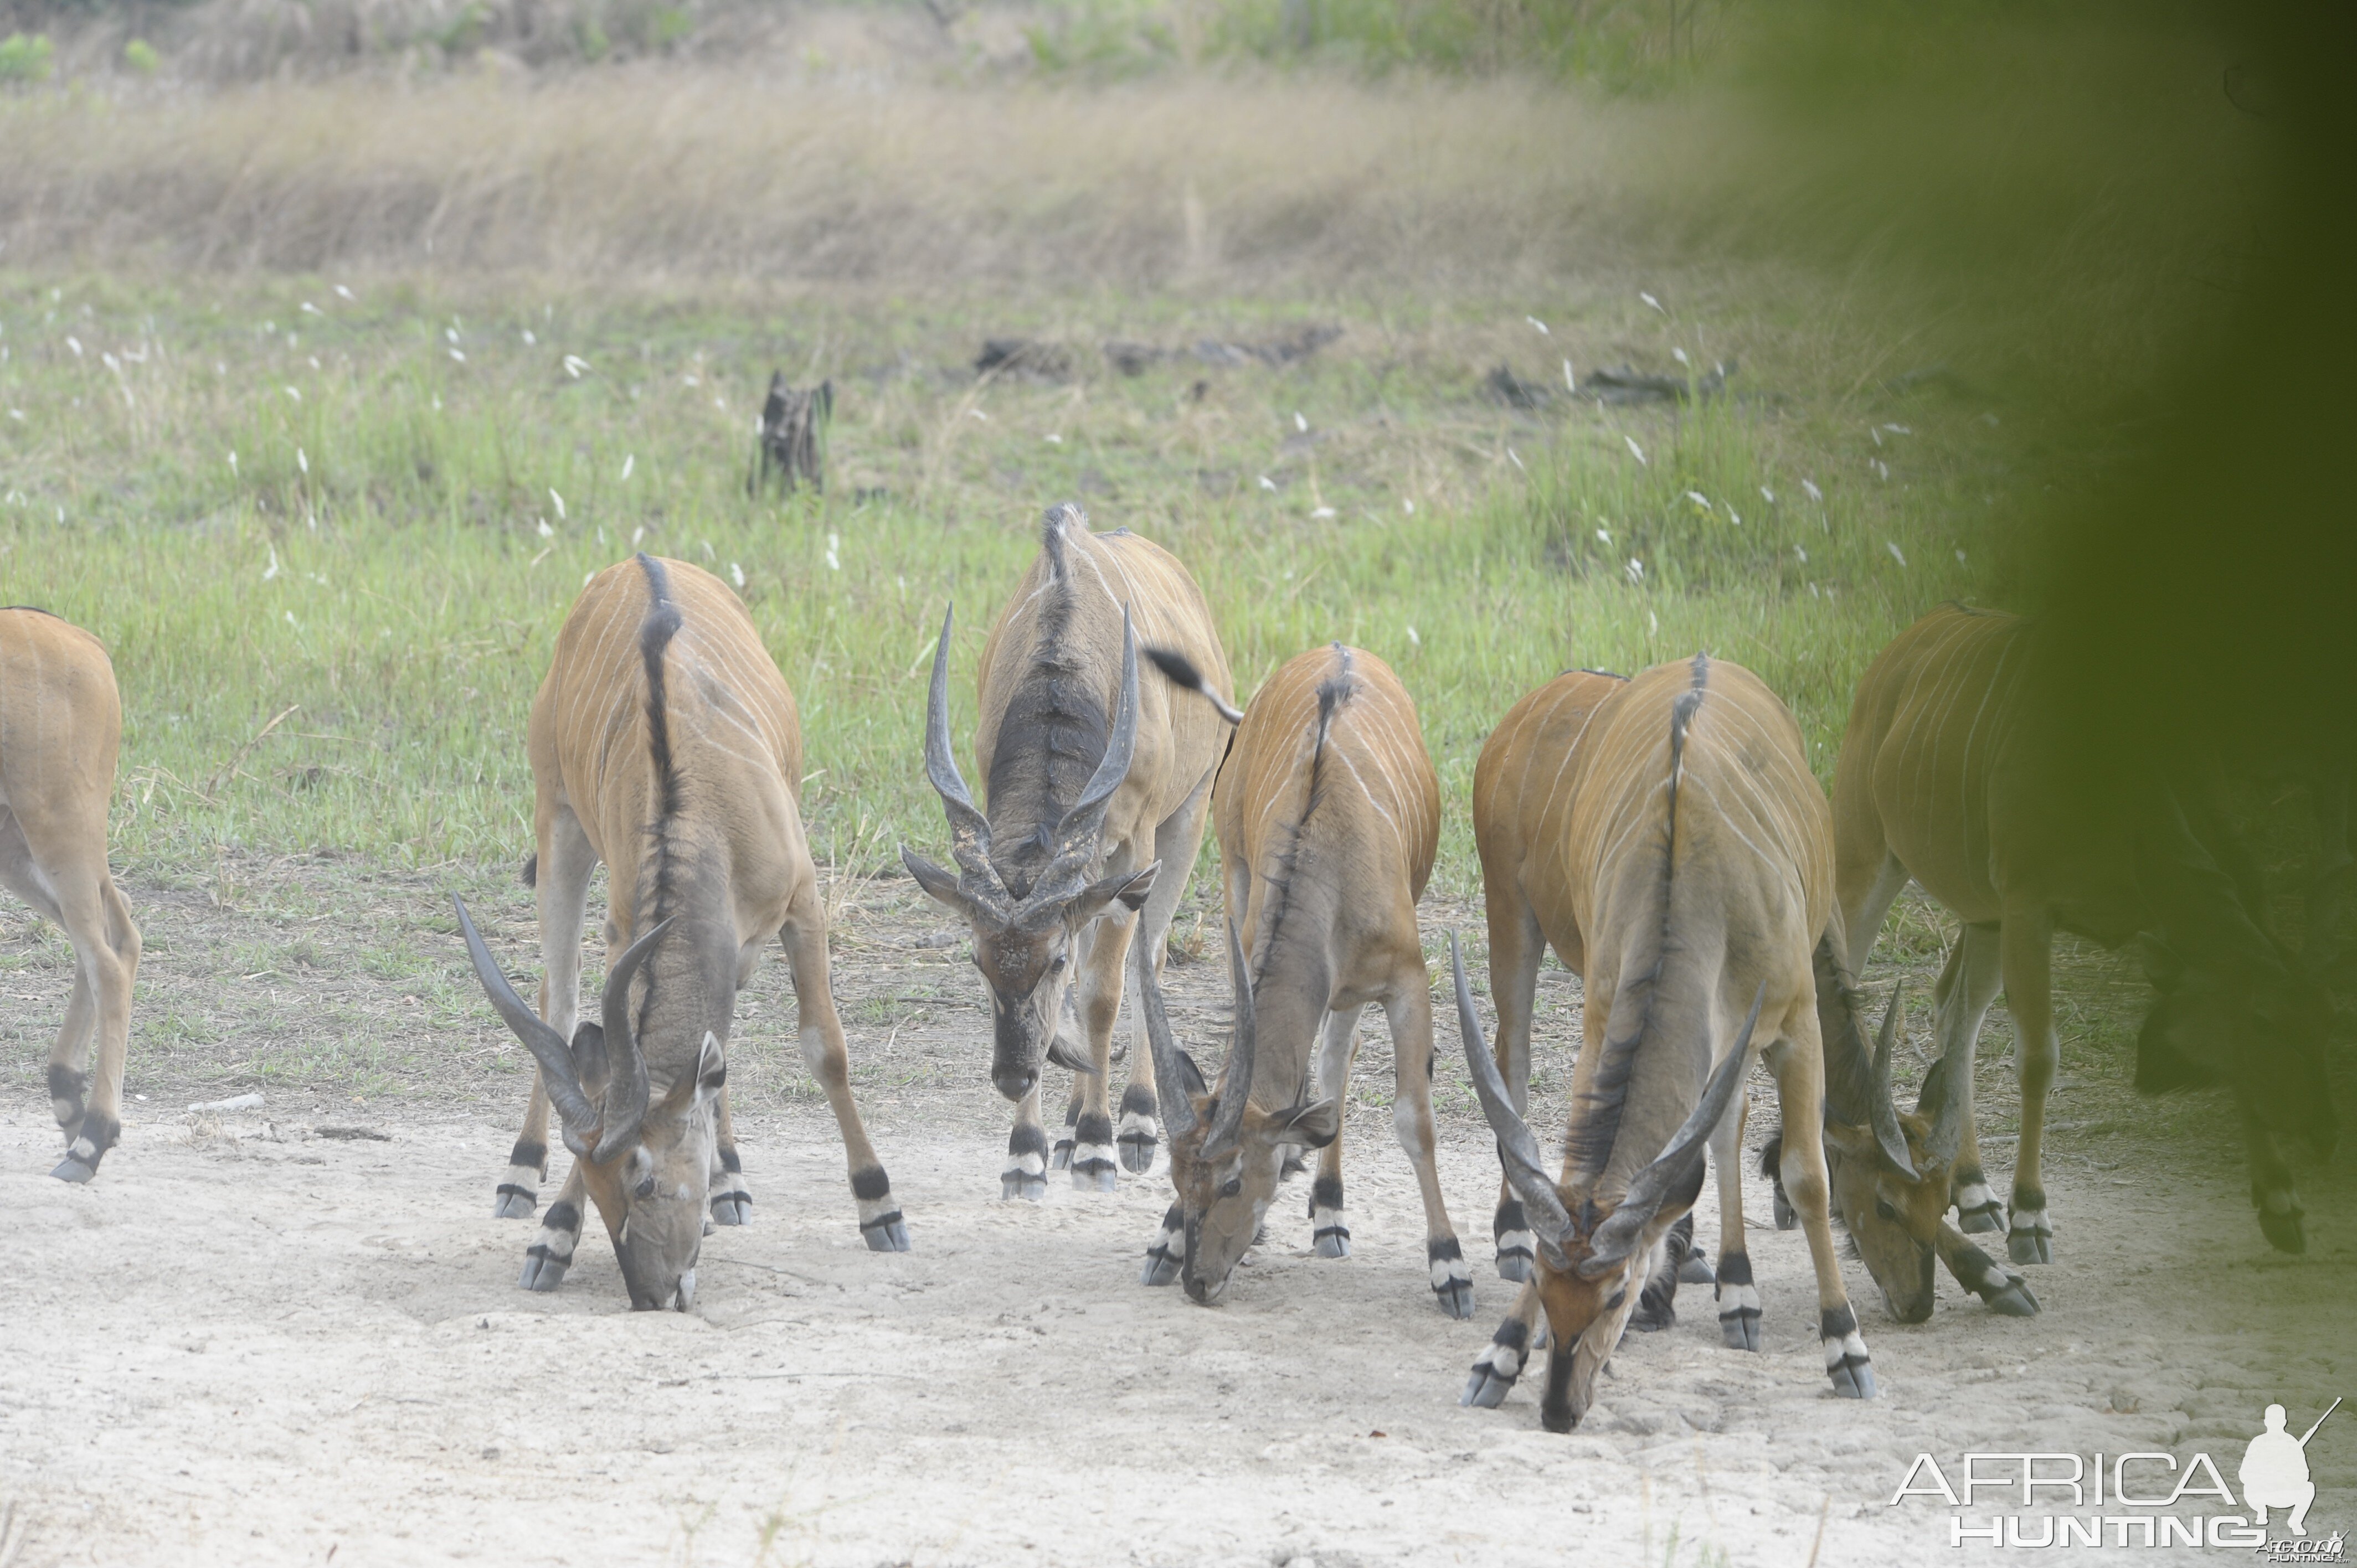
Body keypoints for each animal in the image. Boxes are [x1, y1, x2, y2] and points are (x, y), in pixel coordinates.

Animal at [900, 507, 1235, 1193]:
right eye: (978, 961)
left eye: (1050, 961)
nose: (1011, 1076)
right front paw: (1026, 1153)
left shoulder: (1131, 850)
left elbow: (1102, 989)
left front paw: (1098, 1146)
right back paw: (1065, 1129)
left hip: (1188, 817)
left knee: (1149, 958)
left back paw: (1133, 1122)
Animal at [1140, 641, 1470, 1311]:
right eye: (1178, 1179)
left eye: (1234, 1182)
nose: (1197, 1282)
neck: (1331, 842)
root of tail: (1340, 649)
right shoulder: (1251, 940)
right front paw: (1164, 1240)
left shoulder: (1407, 980)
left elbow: (1413, 1120)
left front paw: (1449, 1266)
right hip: (1238, 879)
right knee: (1329, 1062)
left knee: (1338, 1058)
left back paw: (1331, 1213)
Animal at [1829, 594, 2328, 1254]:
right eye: (2269, 1024)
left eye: (2323, 1022)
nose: (2324, 1127)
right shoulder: (2030, 904)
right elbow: (2038, 1059)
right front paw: (2031, 1215)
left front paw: (2280, 1201)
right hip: (1870, 855)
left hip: (1982, 911)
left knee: (1952, 1006)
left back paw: (1973, 1191)